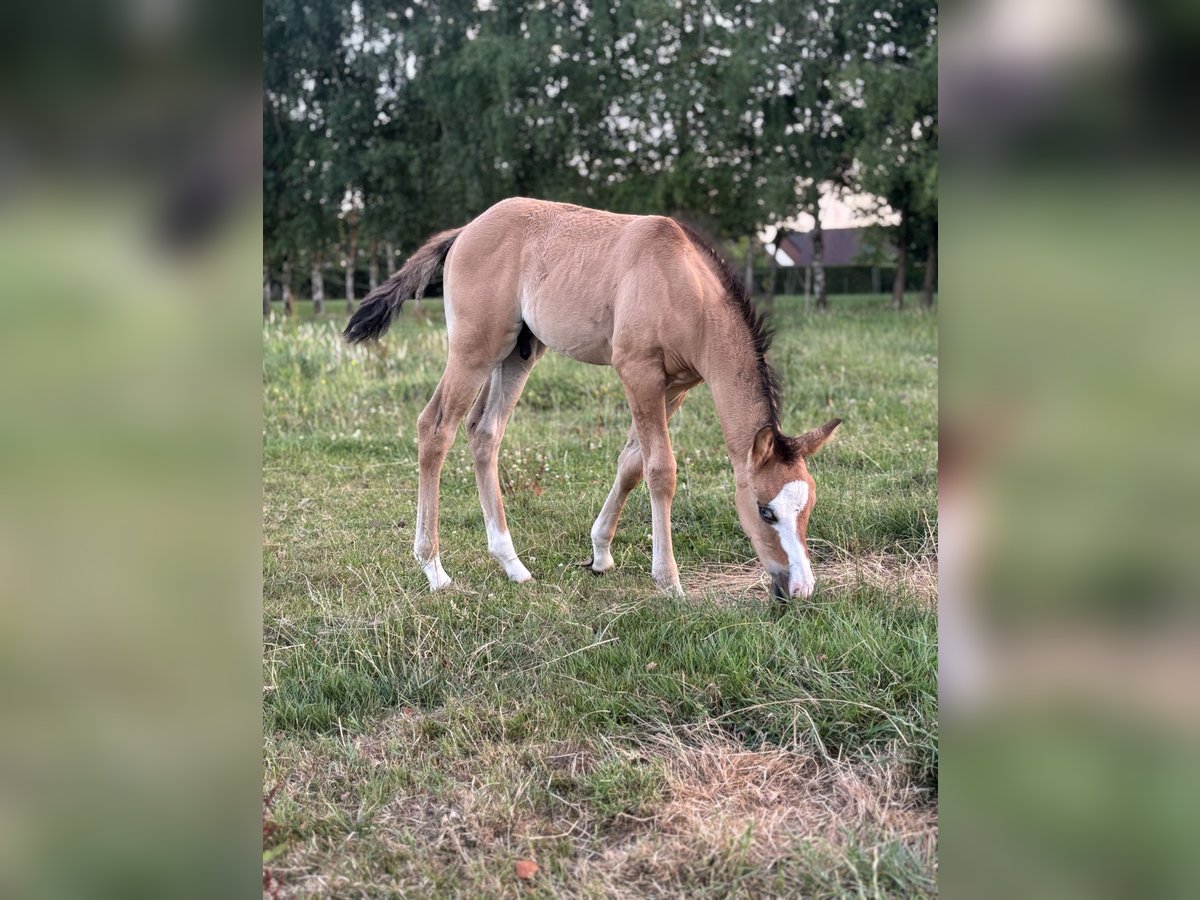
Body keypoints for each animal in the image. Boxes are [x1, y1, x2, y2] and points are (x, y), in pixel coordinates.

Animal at [344, 198, 840, 601]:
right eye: (765, 511)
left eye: (809, 507)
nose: (800, 588)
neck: (686, 290)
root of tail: (466, 230)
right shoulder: (638, 372)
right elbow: (661, 471)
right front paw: (669, 580)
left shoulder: (676, 386)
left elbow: (632, 463)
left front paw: (600, 554)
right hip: (474, 349)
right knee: (436, 428)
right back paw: (435, 570)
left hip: (518, 352)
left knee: (484, 433)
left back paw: (512, 564)